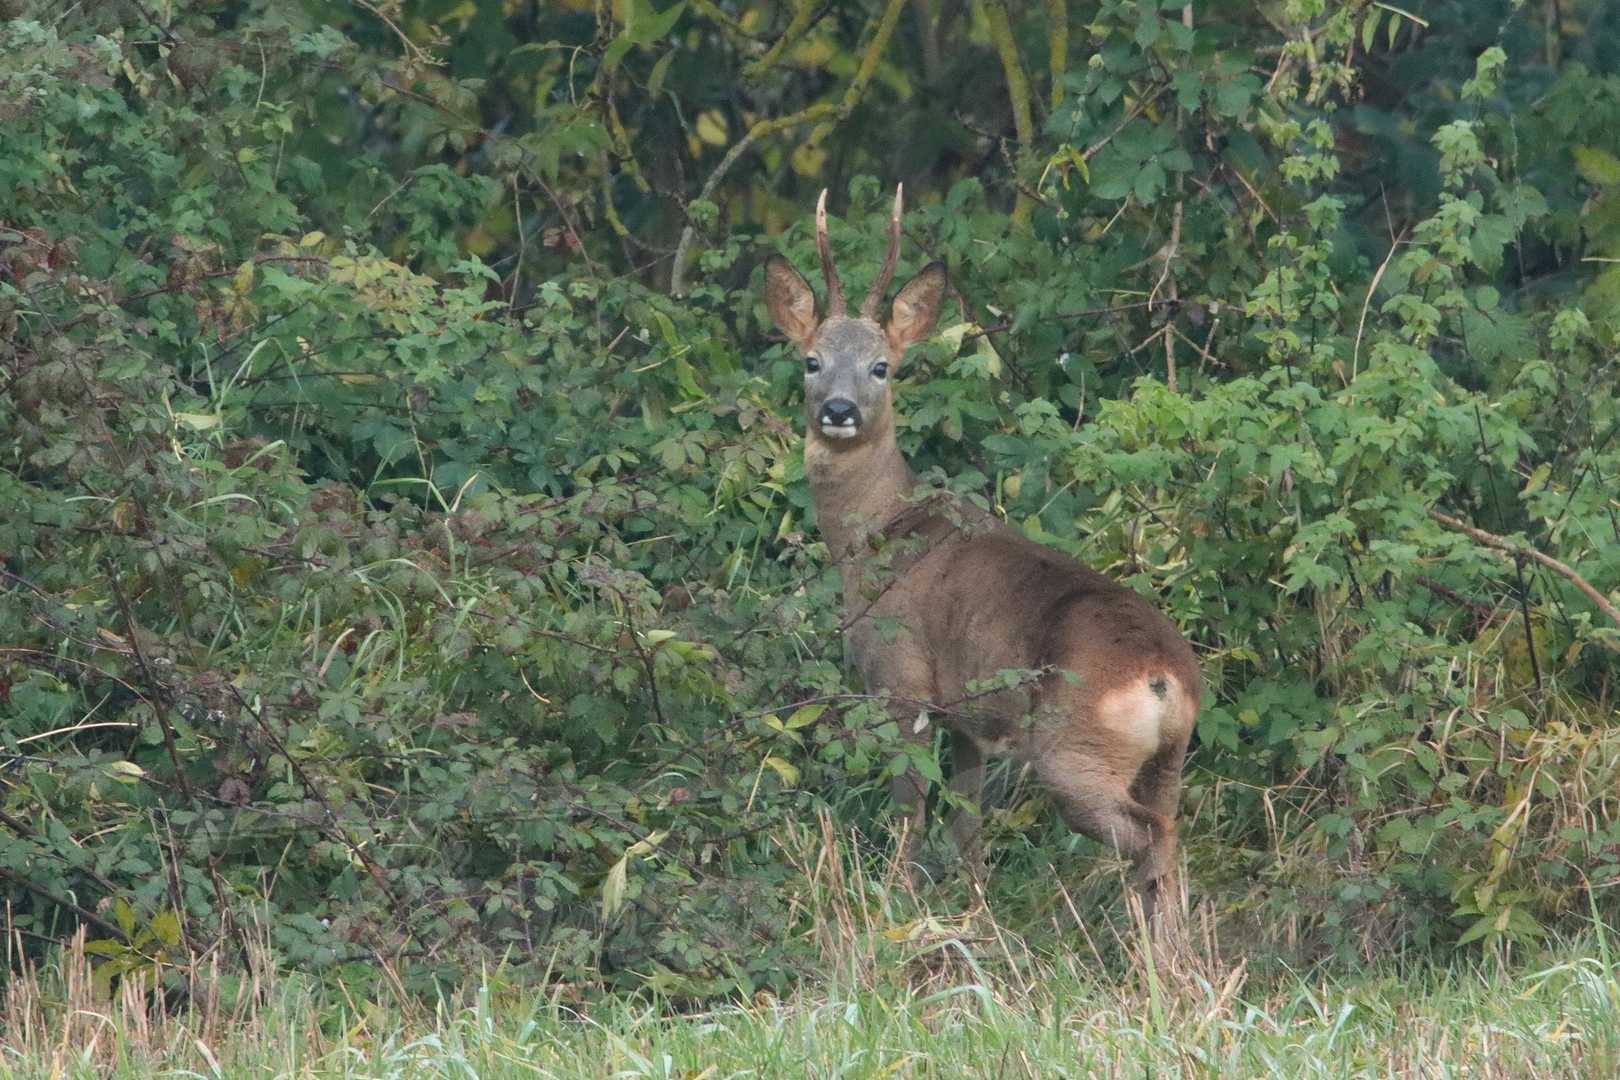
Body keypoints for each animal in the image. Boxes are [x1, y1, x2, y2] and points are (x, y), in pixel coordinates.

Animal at [761, 187, 1205, 932]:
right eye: (811, 360)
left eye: (883, 366)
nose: (841, 410)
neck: (878, 537)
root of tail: (1164, 678)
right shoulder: (968, 719)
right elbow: (966, 826)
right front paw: (973, 914)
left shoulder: (902, 684)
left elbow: (911, 812)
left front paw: (895, 906)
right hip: (1168, 760)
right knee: (1169, 834)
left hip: (1072, 754)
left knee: (1151, 837)